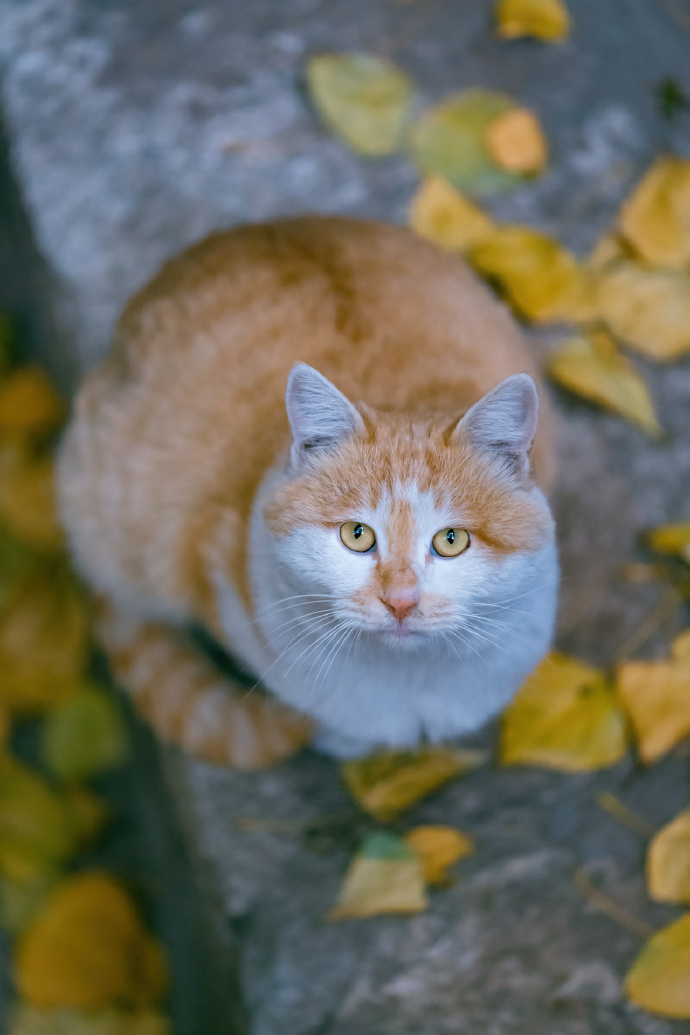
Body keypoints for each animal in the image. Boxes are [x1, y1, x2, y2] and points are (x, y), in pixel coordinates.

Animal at [56, 216, 558, 770]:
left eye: (451, 541)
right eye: (357, 535)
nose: (401, 602)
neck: (409, 680)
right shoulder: (214, 577)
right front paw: (342, 738)